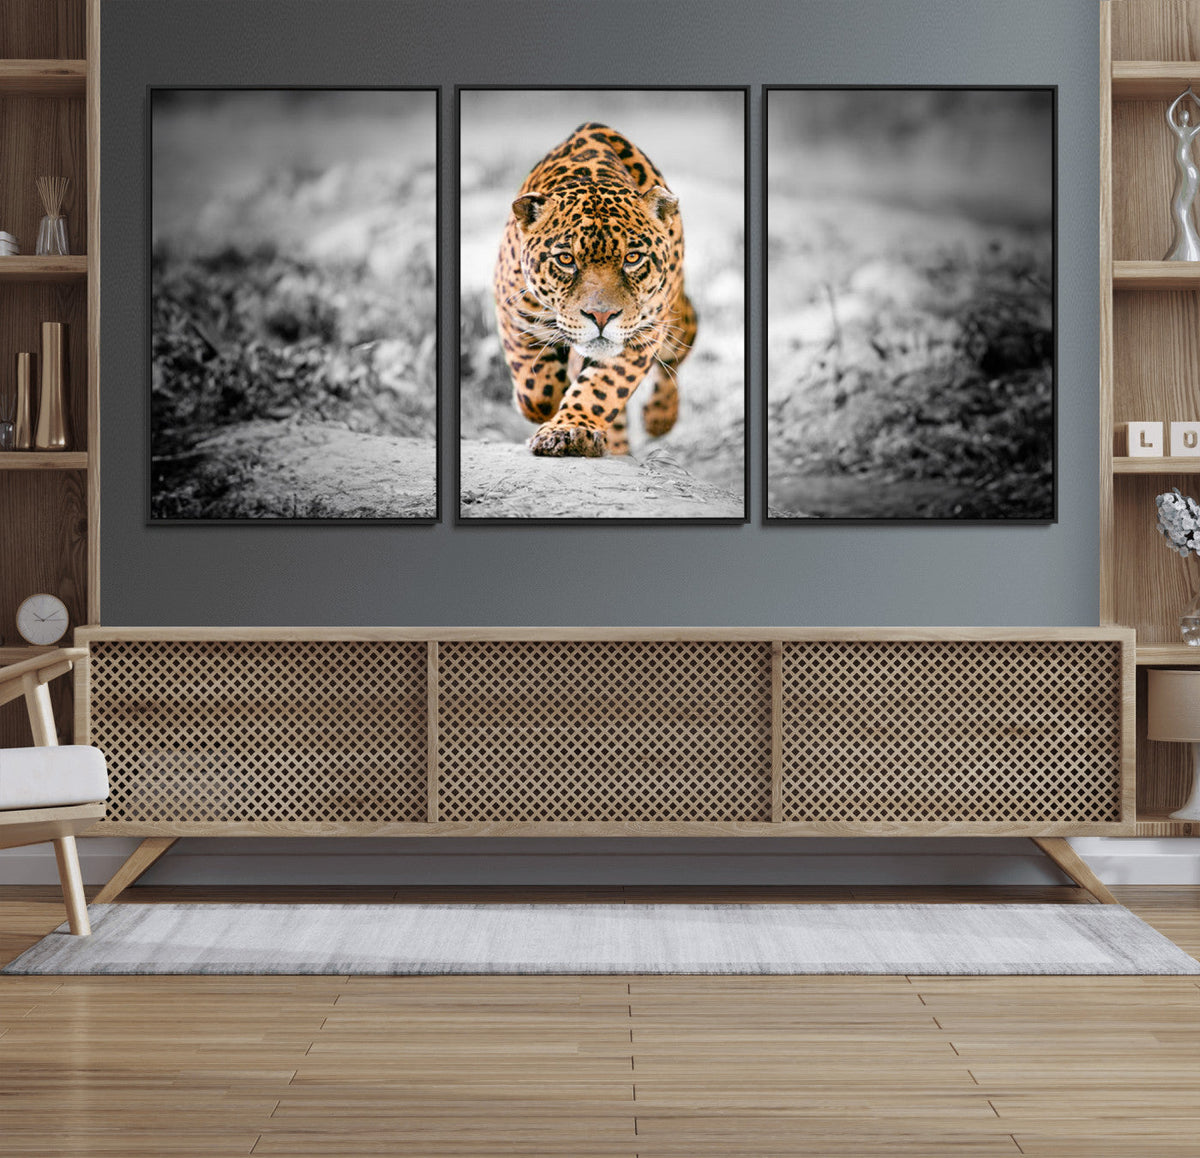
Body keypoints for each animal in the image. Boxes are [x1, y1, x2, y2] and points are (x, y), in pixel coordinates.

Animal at [492, 122, 698, 457]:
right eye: (566, 259)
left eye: (632, 258)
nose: (601, 317)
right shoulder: (515, 312)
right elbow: (537, 390)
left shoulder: (644, 333)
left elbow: (603, 388)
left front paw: (569, 430)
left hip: (676, 321)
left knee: (676, 354)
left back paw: (659, 417)